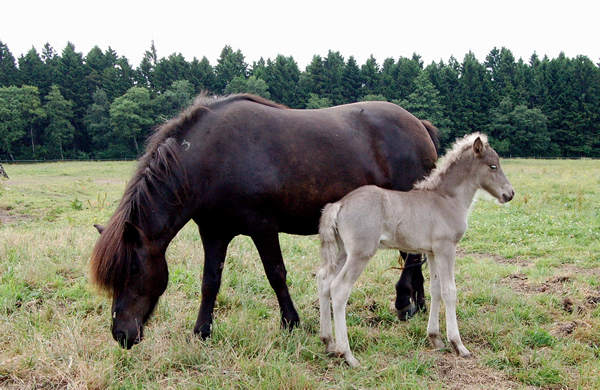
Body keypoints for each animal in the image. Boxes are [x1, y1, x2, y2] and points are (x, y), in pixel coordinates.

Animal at [91, 93, 438, 348]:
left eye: (133, 272)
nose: (121, 335)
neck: (208, 159)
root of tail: (418, 124)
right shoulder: (214, 232)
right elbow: (210, 281)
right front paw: (202, 331)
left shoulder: (263, 229)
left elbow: (276, 274)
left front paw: (290, 322)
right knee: (414, 256)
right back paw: (418, 303)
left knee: (411, 258)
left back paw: (404, 302)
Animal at [316, 133, 512, 366]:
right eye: (493, 166)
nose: (509, 194)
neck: (446, 199)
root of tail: (339, 204)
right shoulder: (446, 248)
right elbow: (450, 291)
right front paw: (458, 345)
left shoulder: (432, 252)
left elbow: (436, 289)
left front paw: (435, 338)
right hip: (360, 253)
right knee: (339, 288)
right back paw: (347, 355)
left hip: (342, 252)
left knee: (324, 279)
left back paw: (328, 342)